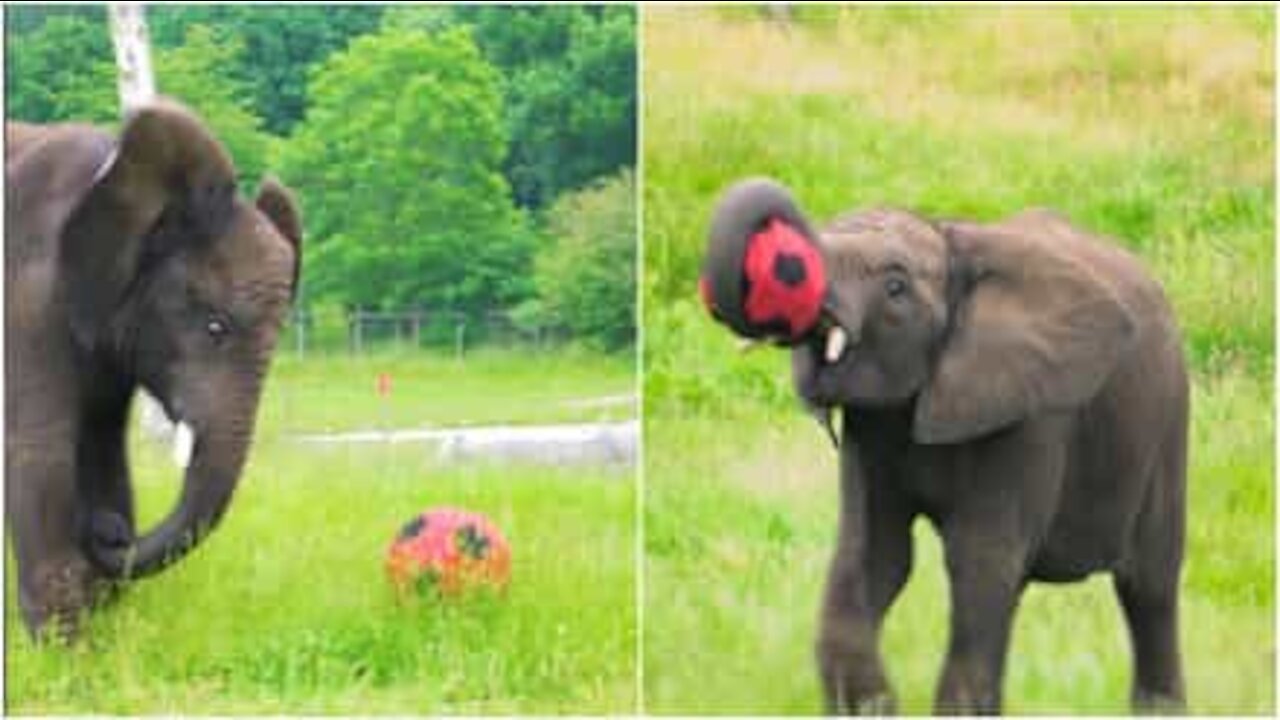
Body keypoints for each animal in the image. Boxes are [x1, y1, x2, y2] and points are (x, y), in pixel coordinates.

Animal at [6, 99, 303, 632]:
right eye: (215, 327)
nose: (109, 532)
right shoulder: (27, 300)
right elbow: (41, 454)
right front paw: (64, 645)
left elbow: (103, 451)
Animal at [706, 180, 1182, 712]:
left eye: (896, 287)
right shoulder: (871, 428)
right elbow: (872, 553)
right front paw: (873, 709)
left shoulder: (1028, 413)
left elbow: (979, 559)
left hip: (1169, 418)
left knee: (1150, 586)